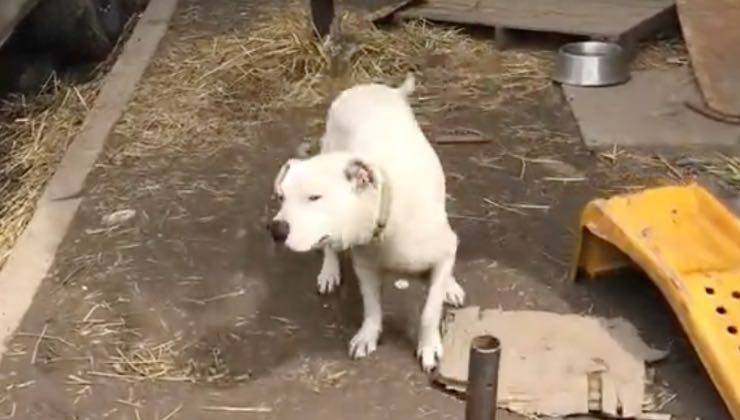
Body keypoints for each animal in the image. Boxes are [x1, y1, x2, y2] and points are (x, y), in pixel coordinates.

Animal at [270, 75, 462, 370]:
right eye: (281, 197)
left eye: (315, 197)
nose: (276, 230)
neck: (387, 212)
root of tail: (365, 88)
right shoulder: (366, 267)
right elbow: (372, 307)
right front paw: (367, 336)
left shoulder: (443, 251)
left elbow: (430, 310)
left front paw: (429, 346)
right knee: (329, 247)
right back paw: (329, 270)